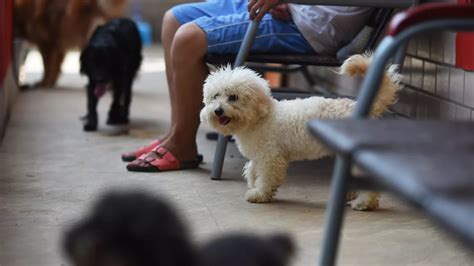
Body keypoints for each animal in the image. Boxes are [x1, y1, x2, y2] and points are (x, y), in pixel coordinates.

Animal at [199, 54, 400, 211]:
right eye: (215, 96)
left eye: (233, 97)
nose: (218, 111)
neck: (261, 118)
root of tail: (362, 108)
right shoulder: (259, 156)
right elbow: (251, 170)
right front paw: (254, 184)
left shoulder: (271, 157)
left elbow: (266, 178)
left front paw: (259, 194)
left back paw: (364, 203)